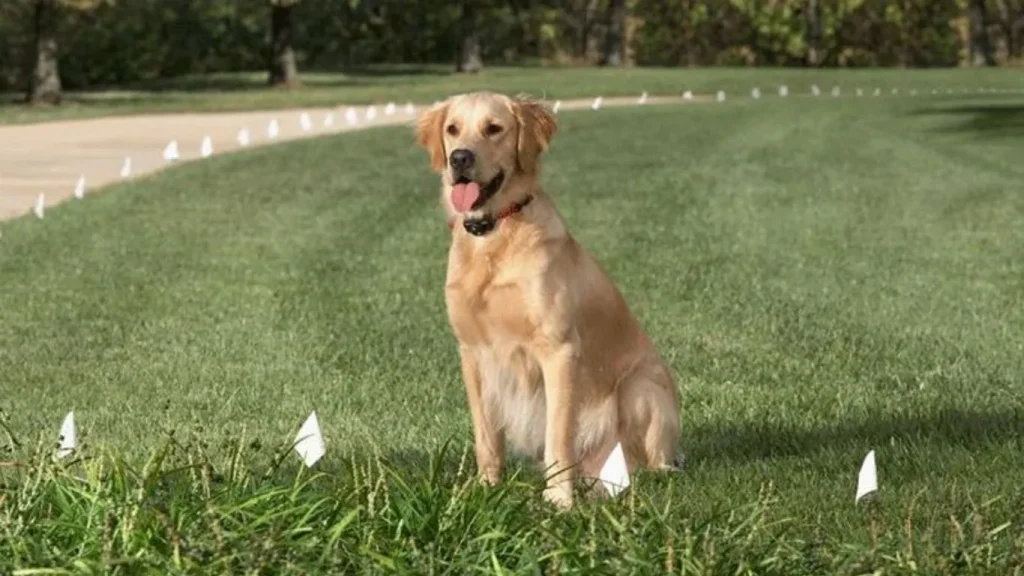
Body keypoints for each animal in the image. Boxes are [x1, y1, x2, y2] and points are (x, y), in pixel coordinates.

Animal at [415, 90, 679, 506]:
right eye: (453, 129)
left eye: (494, 128)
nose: (460, 158)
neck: (495, 235)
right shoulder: (472, 353)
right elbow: (486, 437)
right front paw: (486, 488)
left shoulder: (558, 350)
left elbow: (557, 436)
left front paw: (558, 500)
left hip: (640, 387)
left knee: (654, 464)